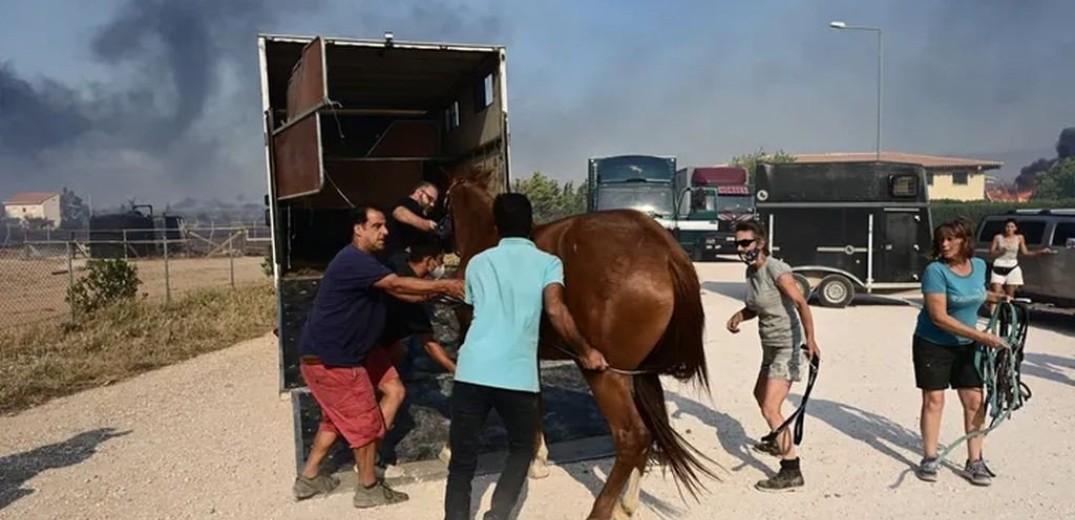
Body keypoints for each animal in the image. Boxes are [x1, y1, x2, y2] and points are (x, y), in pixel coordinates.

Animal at [432, 167, 718, 520]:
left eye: (442, 200)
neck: (488, 236)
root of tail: (664, 251)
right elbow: (535, 399)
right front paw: (539, 459)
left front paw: (448, 449)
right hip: (641, 373)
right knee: (653, 430)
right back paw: (627, 502)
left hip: (604, 373)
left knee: (633, 436)